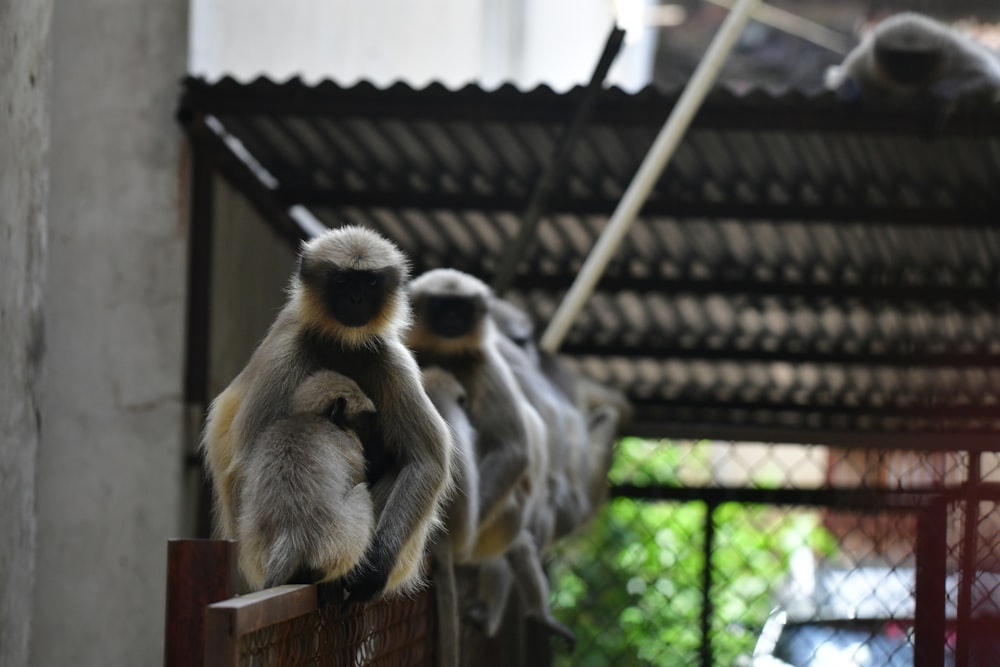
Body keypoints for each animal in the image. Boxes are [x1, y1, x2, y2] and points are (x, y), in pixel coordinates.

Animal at [236, 370, 376, 588]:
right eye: (363, 419)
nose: (369, 434)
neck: (313, 417)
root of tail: (292, 531)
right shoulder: (348, 446)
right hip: (340, 538)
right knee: (361, 493)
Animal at [824, 12, 1000, 104]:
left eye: (918, 59)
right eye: (899, 59)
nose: (908, 68)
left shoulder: (953, 50)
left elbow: (990, 78)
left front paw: (947, 88)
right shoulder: (868, 59)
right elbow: (837, 77)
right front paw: (846, 86)